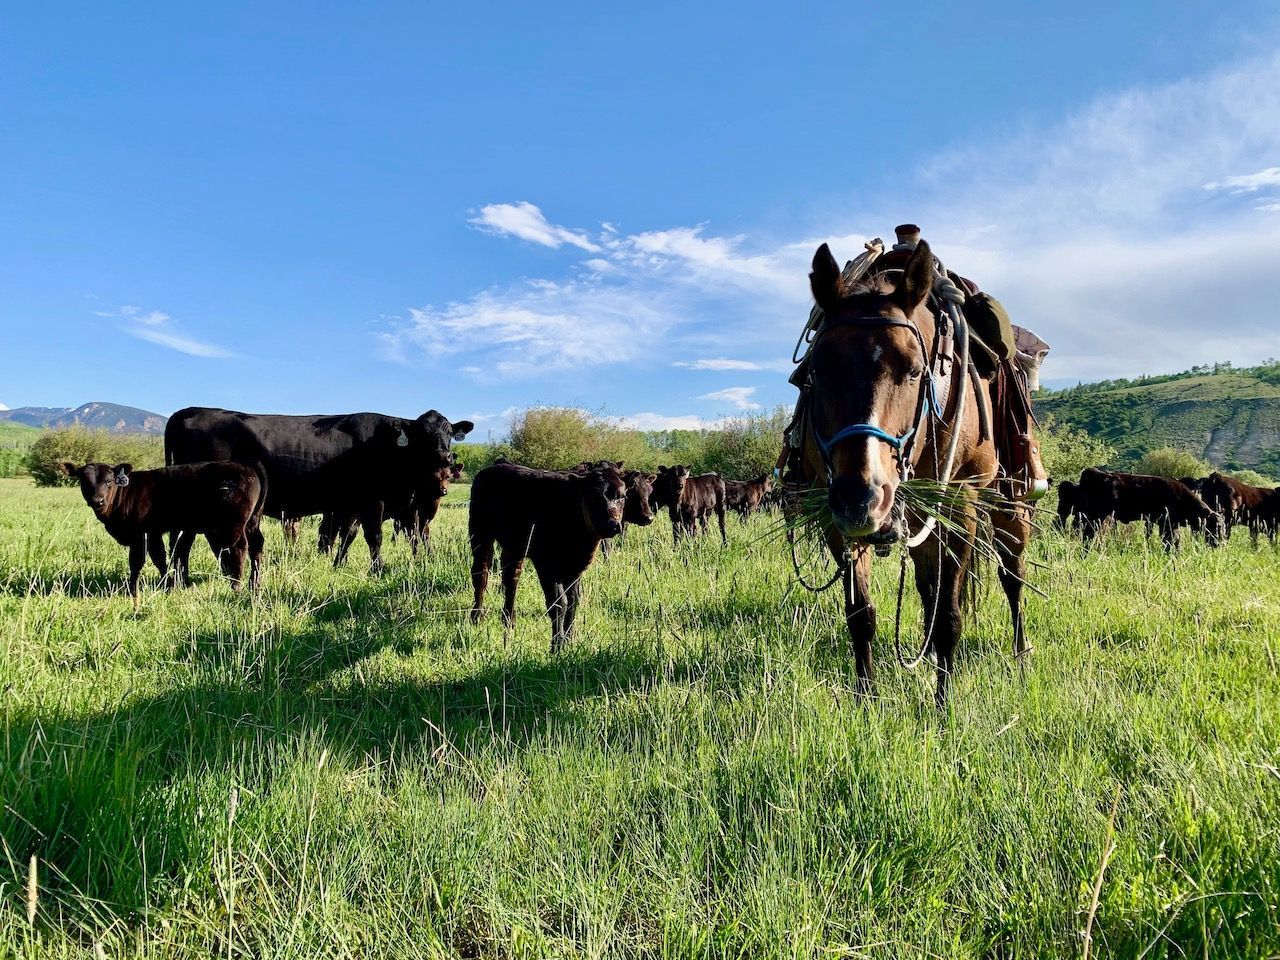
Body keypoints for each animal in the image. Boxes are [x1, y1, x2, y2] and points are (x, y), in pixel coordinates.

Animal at [62, 460, 266, 606]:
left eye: (109, 481)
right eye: (84, 482)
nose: (98, 500)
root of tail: (247, 466)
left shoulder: (145, 534)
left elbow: (145, 561)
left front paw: (144, 589)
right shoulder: (148, 535)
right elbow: (151, 560)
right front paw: (161, 586)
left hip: (232, 525)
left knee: (239, 548)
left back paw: (236, 585)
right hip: (252, 522)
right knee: (256, 546)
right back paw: (254, 584)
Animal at [165, 407, 473, 570]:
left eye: (449, 432)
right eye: (422, 434)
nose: (445, 456)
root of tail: (190, 410)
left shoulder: (355, 506)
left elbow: (348, 535)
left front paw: (339, 564)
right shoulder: (373, 501)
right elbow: (374, 537)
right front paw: (378, 569)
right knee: (187, 539)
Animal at [468, 461, 625, 651]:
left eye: (622, 498)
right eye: (595, 497)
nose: (614, 525)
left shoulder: (576, 567)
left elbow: (573, 601)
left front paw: (570, 639)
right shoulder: (546, 564)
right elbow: (559, 603)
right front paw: (557, 645)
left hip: (515, 546)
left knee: (511, 579)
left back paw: (509, 620)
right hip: (479, 532)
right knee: (481, 574)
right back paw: (477, 617)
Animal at [795, 238, 1033, 707]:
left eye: (914, 371)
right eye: (817, 370)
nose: (862, 499)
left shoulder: (958, 506)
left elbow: (949, 617)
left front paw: (944, 708)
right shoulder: (835, 516)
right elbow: (861, 614)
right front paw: (865, 699)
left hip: (1006, 502)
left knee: (1011, 576)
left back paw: (1020, 656)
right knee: (927, 587)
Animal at [1073, 467, 1218, 548]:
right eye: (1215, 526)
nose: (1219, 544)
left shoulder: (1171, 524)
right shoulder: (1166, 524)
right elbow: (1169, 541)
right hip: (1096, 518)